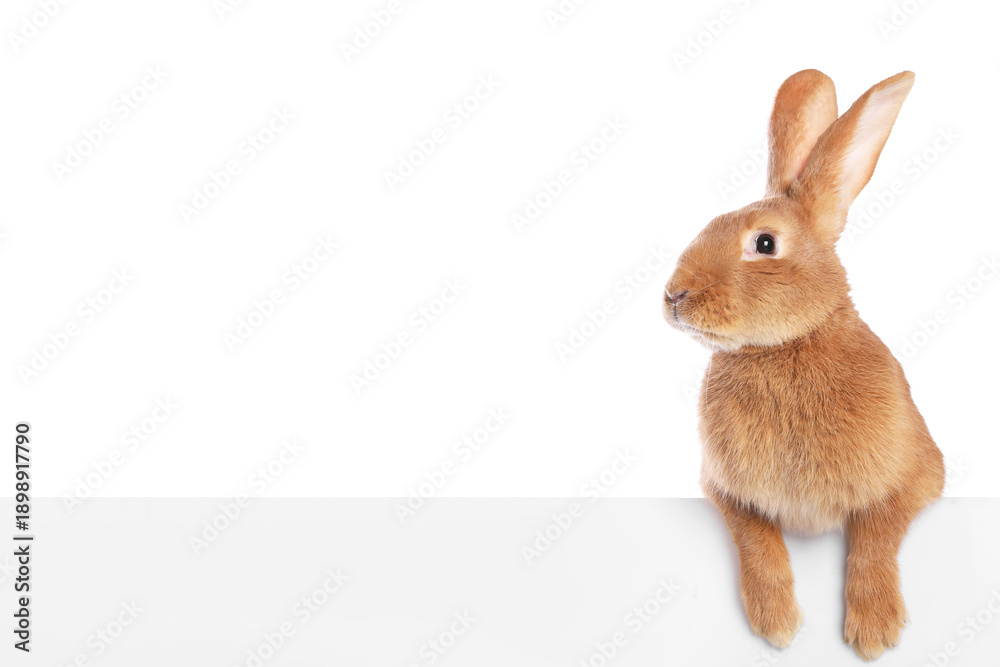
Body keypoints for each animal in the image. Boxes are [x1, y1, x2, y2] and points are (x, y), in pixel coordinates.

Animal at [662, 69, 944, 660]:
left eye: (765, 243)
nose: (674, 296)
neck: (785, 346)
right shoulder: (727, 489)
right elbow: (758, 540)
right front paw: (776, 621)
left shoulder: (914, 473)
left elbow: (876, 534)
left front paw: (875, 628)